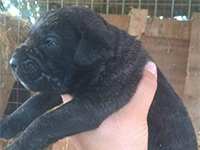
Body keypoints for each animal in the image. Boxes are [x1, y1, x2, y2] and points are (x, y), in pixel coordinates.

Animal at [0, 6, 197, 149]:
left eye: (50, 43)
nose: (12, 62)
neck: (104, 62)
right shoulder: (58, 88)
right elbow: (32, 103)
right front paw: (7, 124)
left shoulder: (91, 105)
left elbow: (45, 122)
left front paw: (16, 146)